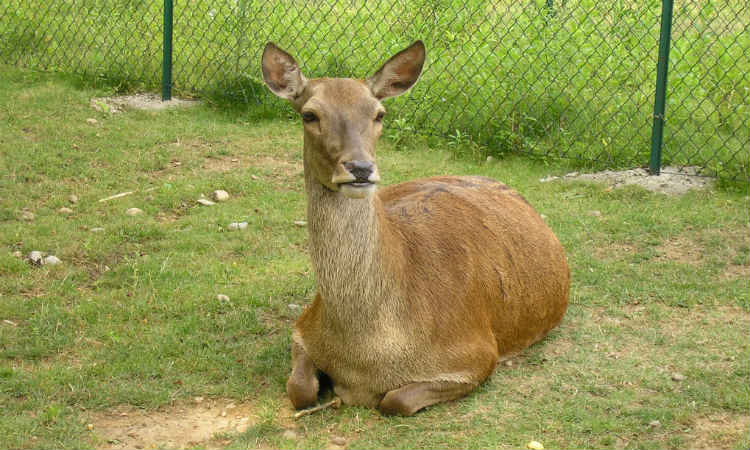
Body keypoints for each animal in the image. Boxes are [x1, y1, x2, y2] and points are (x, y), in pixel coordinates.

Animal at [262, 39, 572, 414]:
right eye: (309, 114)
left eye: (379, 113)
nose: (361, 168)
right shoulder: (304, 326)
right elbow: (300, 390)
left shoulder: (478, 355)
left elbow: (395, 400)